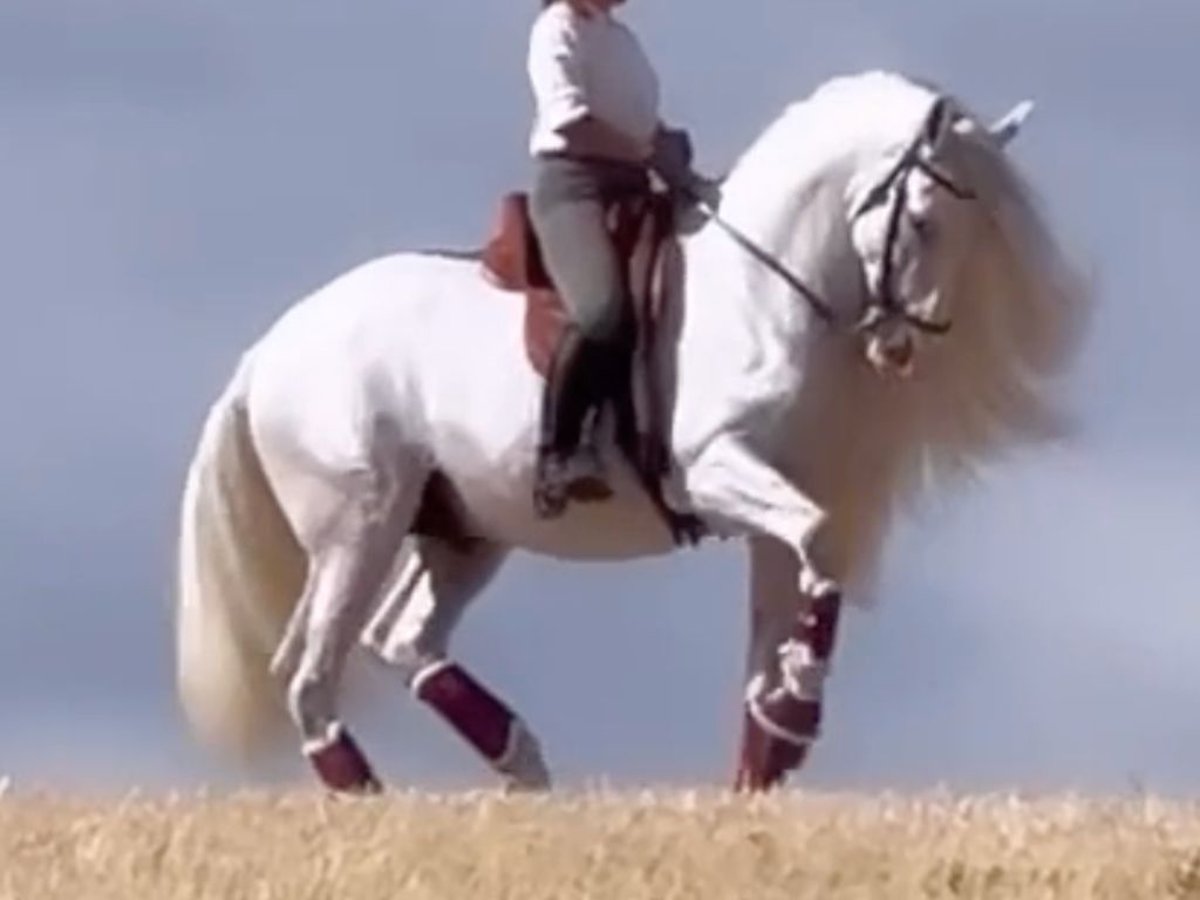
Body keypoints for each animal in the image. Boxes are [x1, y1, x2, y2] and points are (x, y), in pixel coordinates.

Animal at [175, 70, 1089, 796]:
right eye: (925, 217)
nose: (903, 343)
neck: (764, 292)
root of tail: (267, 354)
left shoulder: (779, 507)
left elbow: (794, 593)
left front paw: (769, 751)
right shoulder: (717, 470)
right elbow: (816, 553)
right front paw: (794, 713)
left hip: (463, 529)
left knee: (396, 638)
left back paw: (522, 762)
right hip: (357, 525)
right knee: (308, 672)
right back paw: (369, 798)